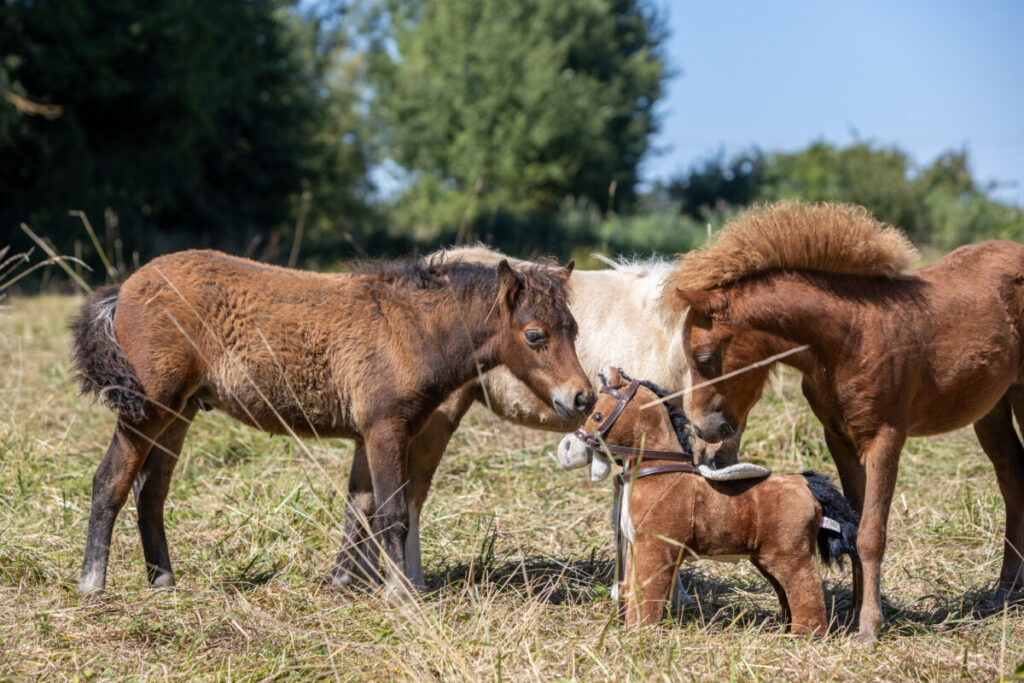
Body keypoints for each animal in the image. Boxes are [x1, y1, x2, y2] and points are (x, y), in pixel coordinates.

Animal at [70, 249, 594, 598]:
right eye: (534, 335)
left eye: (574, 329)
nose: (582, 397)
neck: (411, 330)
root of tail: (124, 288)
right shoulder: (386, 427)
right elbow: (393, 514)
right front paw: (400, 595)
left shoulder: (368, 433)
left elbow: (358, 508)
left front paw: (341, 583)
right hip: (148, 406)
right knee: (110, 480)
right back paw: (92, 584)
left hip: (179, 412)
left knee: (151, 491)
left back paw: (162, 579)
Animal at [560, 367, 860, 631]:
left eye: (598, 415)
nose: (567, 449)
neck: (658, 470)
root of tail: (805, 483)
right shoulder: (636, 547)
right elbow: (633, 589)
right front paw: (631, 629)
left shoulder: (655, 548)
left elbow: (649, 592)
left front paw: (641, 632)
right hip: (766, 558)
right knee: (786, 592)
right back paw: (787, 630)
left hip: (792, 555)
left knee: (806, 587)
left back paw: (806, 635)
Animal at [664, 201, 1024, 642]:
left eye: (704, 358)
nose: (702, 430)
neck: (848, 339)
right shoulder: (838, 437)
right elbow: (852, 522)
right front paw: (854, 612)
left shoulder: (885, 437)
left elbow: (871, 532)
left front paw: (870, 626)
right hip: (992, 409)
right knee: (1013, 480)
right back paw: (1005, 591)